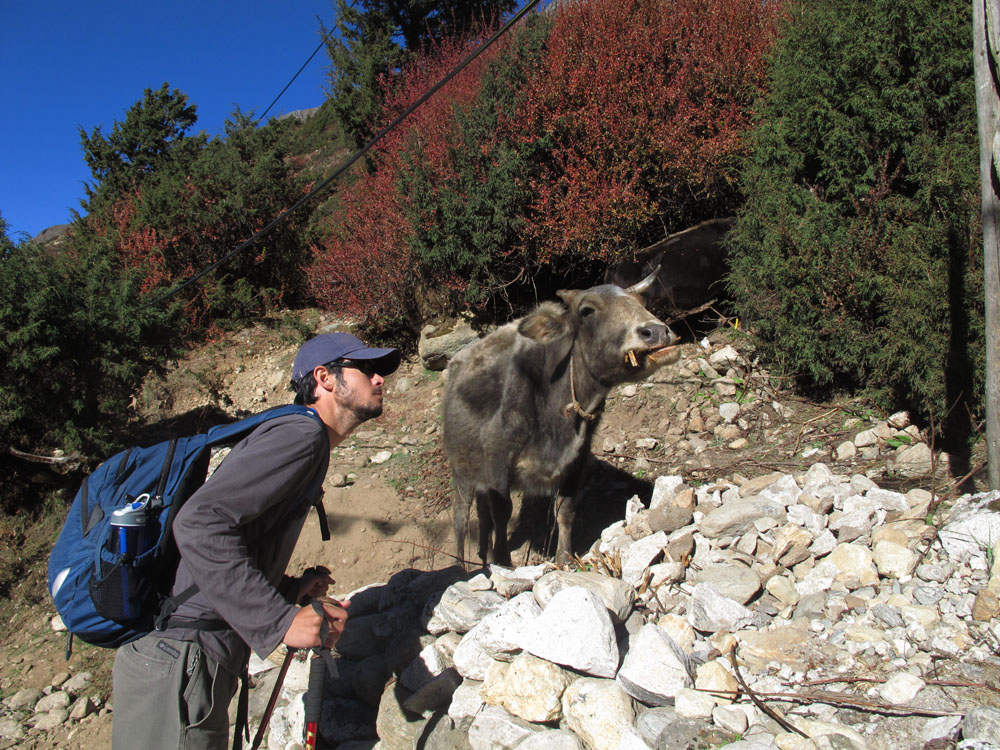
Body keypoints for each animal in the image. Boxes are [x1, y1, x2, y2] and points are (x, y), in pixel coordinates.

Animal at [444, 272, 680, 568]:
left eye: (640, 301)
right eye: (587, 310)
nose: (657, 331)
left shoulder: (575, 462)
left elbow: (565, 510)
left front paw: (565, 559)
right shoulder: (497, 461)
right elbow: (503, 513)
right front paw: (504, 562)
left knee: (483, 516)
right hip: (461, 472)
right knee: (461, 519)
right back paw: (462, 566)